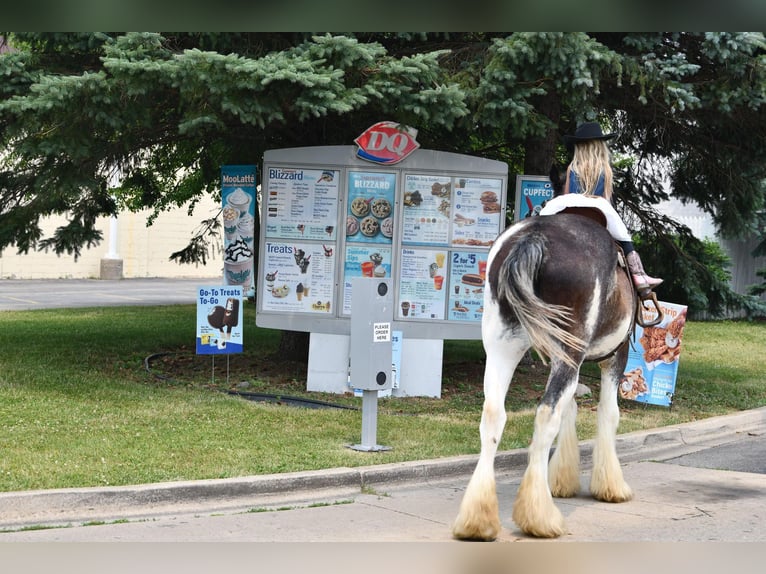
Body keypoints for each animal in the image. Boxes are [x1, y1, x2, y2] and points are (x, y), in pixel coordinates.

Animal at [452, 209, 640, 544]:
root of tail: (534, 237)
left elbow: (572, 408)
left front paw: (562, 479)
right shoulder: (614, 358)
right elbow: (607, 413)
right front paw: (610, 485)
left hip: (502, 347)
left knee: (493, 415)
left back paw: (477, 519)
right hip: (568, 352)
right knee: (545, 415)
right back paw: (539, 516)